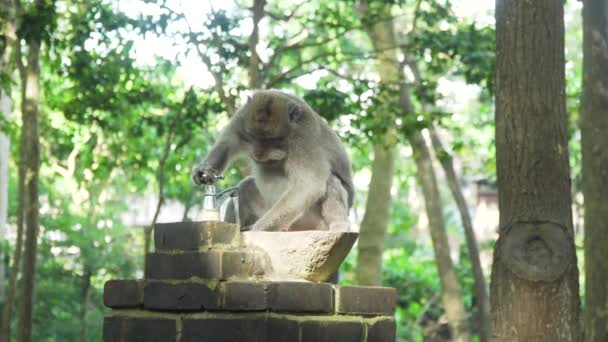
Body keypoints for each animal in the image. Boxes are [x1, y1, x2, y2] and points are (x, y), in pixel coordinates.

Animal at [192, 89, 354, 232]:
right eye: (253, 136)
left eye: (272, 140)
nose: (258, 153)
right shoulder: (242, 117)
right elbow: (226, 144)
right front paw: (204, 170)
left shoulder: (305, 139)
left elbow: (309, 184)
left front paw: (257, 230)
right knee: (245, 187)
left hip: (308, 219)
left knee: (332, 181)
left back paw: (338, 226)